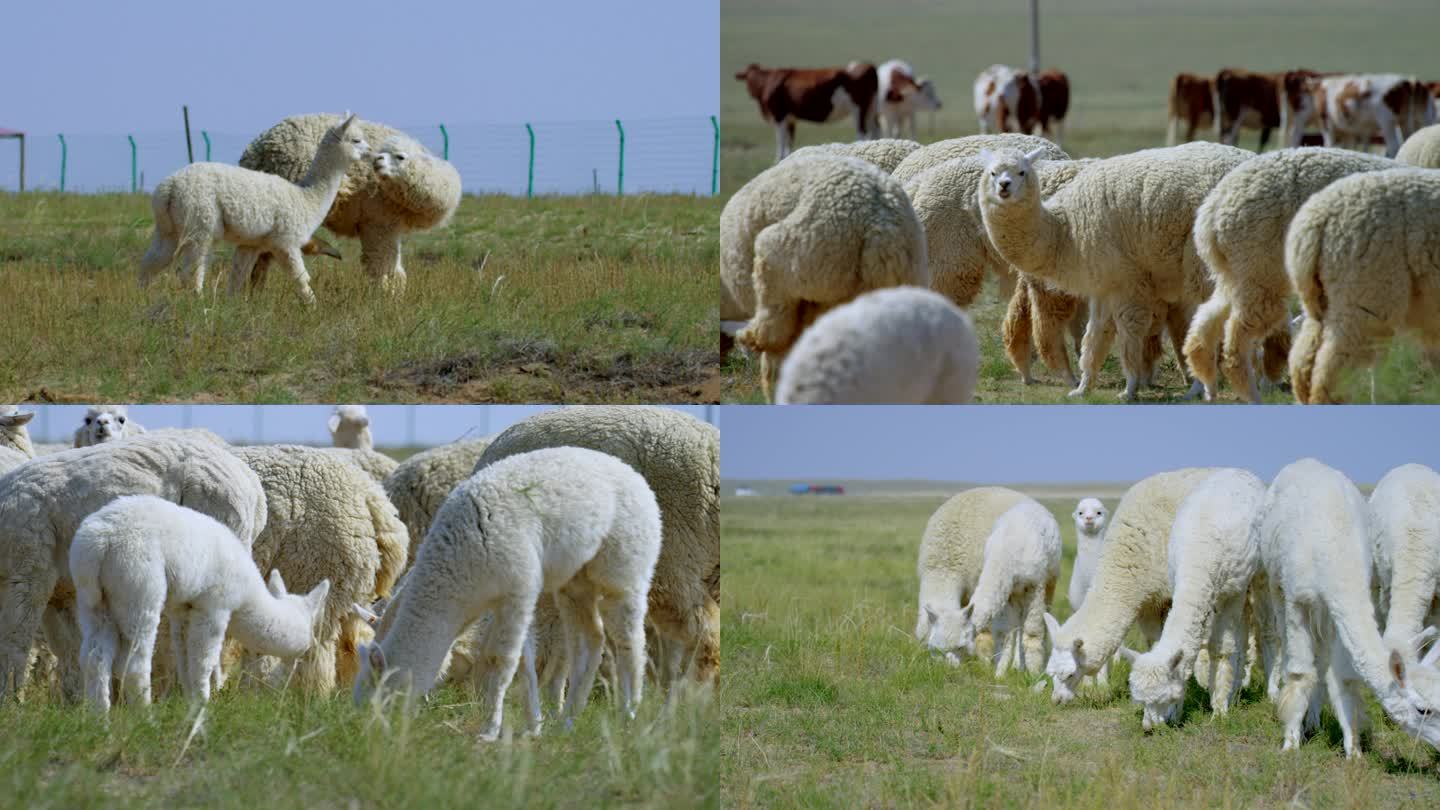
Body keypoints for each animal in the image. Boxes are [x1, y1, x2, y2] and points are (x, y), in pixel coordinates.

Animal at [737, 61, 881, 160]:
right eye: (747, 78)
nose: (750, 93)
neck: (767, 82)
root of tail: (868, 66)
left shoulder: (779, 116)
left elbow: (780, 140)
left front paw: (778, 159)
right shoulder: (791, 118)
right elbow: (789, 141)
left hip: (859, 109)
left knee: (862, 133)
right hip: (870, 109)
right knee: (874, 131)